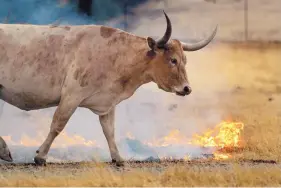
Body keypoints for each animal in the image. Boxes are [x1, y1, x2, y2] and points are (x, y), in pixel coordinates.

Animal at [0, 11, 217, 165]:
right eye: (172, 60)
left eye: (184, 60)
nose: (187, 88)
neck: (117, 55)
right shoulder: (72, 96)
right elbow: (57, 125)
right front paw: (40, 156)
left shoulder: (107, 105)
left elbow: (109, 131)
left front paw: (118, 158)